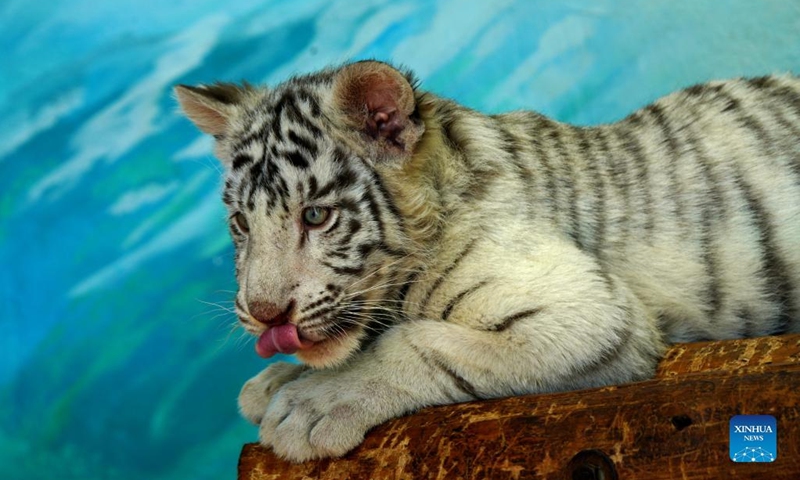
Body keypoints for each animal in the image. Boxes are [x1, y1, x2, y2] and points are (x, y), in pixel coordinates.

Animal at [175, 60, 800, 462]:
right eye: (240, 225)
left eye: (315, 216)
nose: (264, 315)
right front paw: (277, 379)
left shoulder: (590, 313)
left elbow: (417, 342)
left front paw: (308, 406)